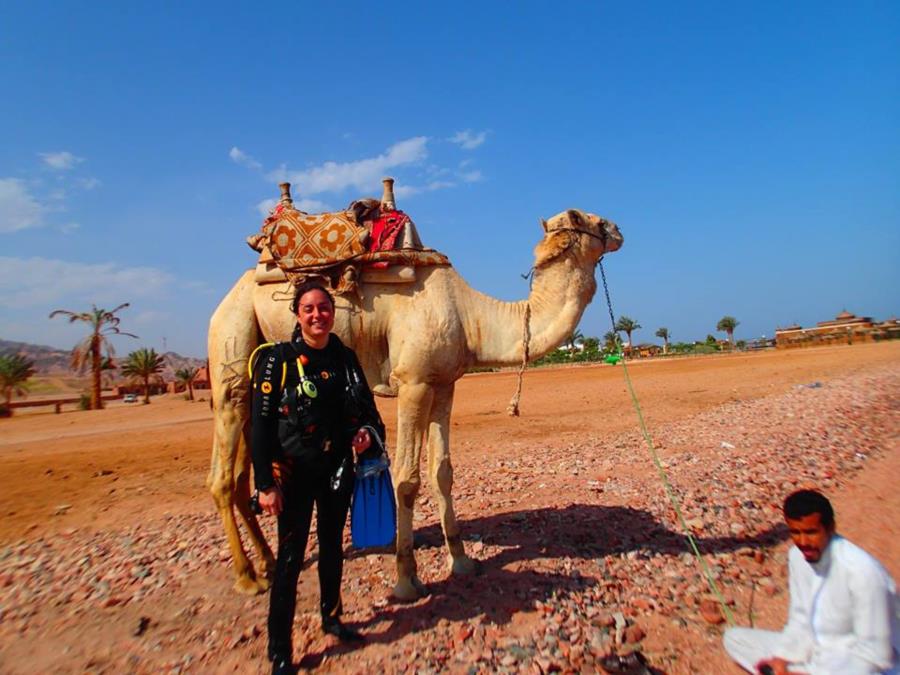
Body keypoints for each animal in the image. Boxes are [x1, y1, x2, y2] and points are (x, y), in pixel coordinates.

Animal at [207, 195, 624, 604]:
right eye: (579, 216)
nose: (617, 228)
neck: (471, 317)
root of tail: (227, 298)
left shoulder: (444, 384)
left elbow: (443, 472)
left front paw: (461, 562)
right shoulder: (413, 382)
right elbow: (406, 479)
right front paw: (407, 580)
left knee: (244, 476)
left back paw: (267, 562)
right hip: (232, 343)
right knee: (222, 476)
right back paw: (248, 577)